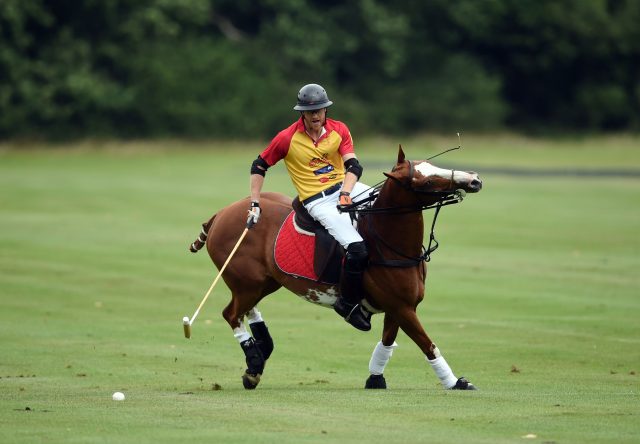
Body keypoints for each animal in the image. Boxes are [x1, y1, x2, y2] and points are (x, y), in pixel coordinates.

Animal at [188, 147, 482, 390]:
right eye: (427, 181)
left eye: (433, 167)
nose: (474, 179)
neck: (389, 243)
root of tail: (219, 214)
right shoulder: (401, 307)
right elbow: (427, 344)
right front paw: (456, 382)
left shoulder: (399, 308)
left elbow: (387, 342)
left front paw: (375, 378)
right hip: (247, 281)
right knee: (231, 314)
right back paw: (254, 365)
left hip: (265, 281)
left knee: (247, 310)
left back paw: (260, 352)